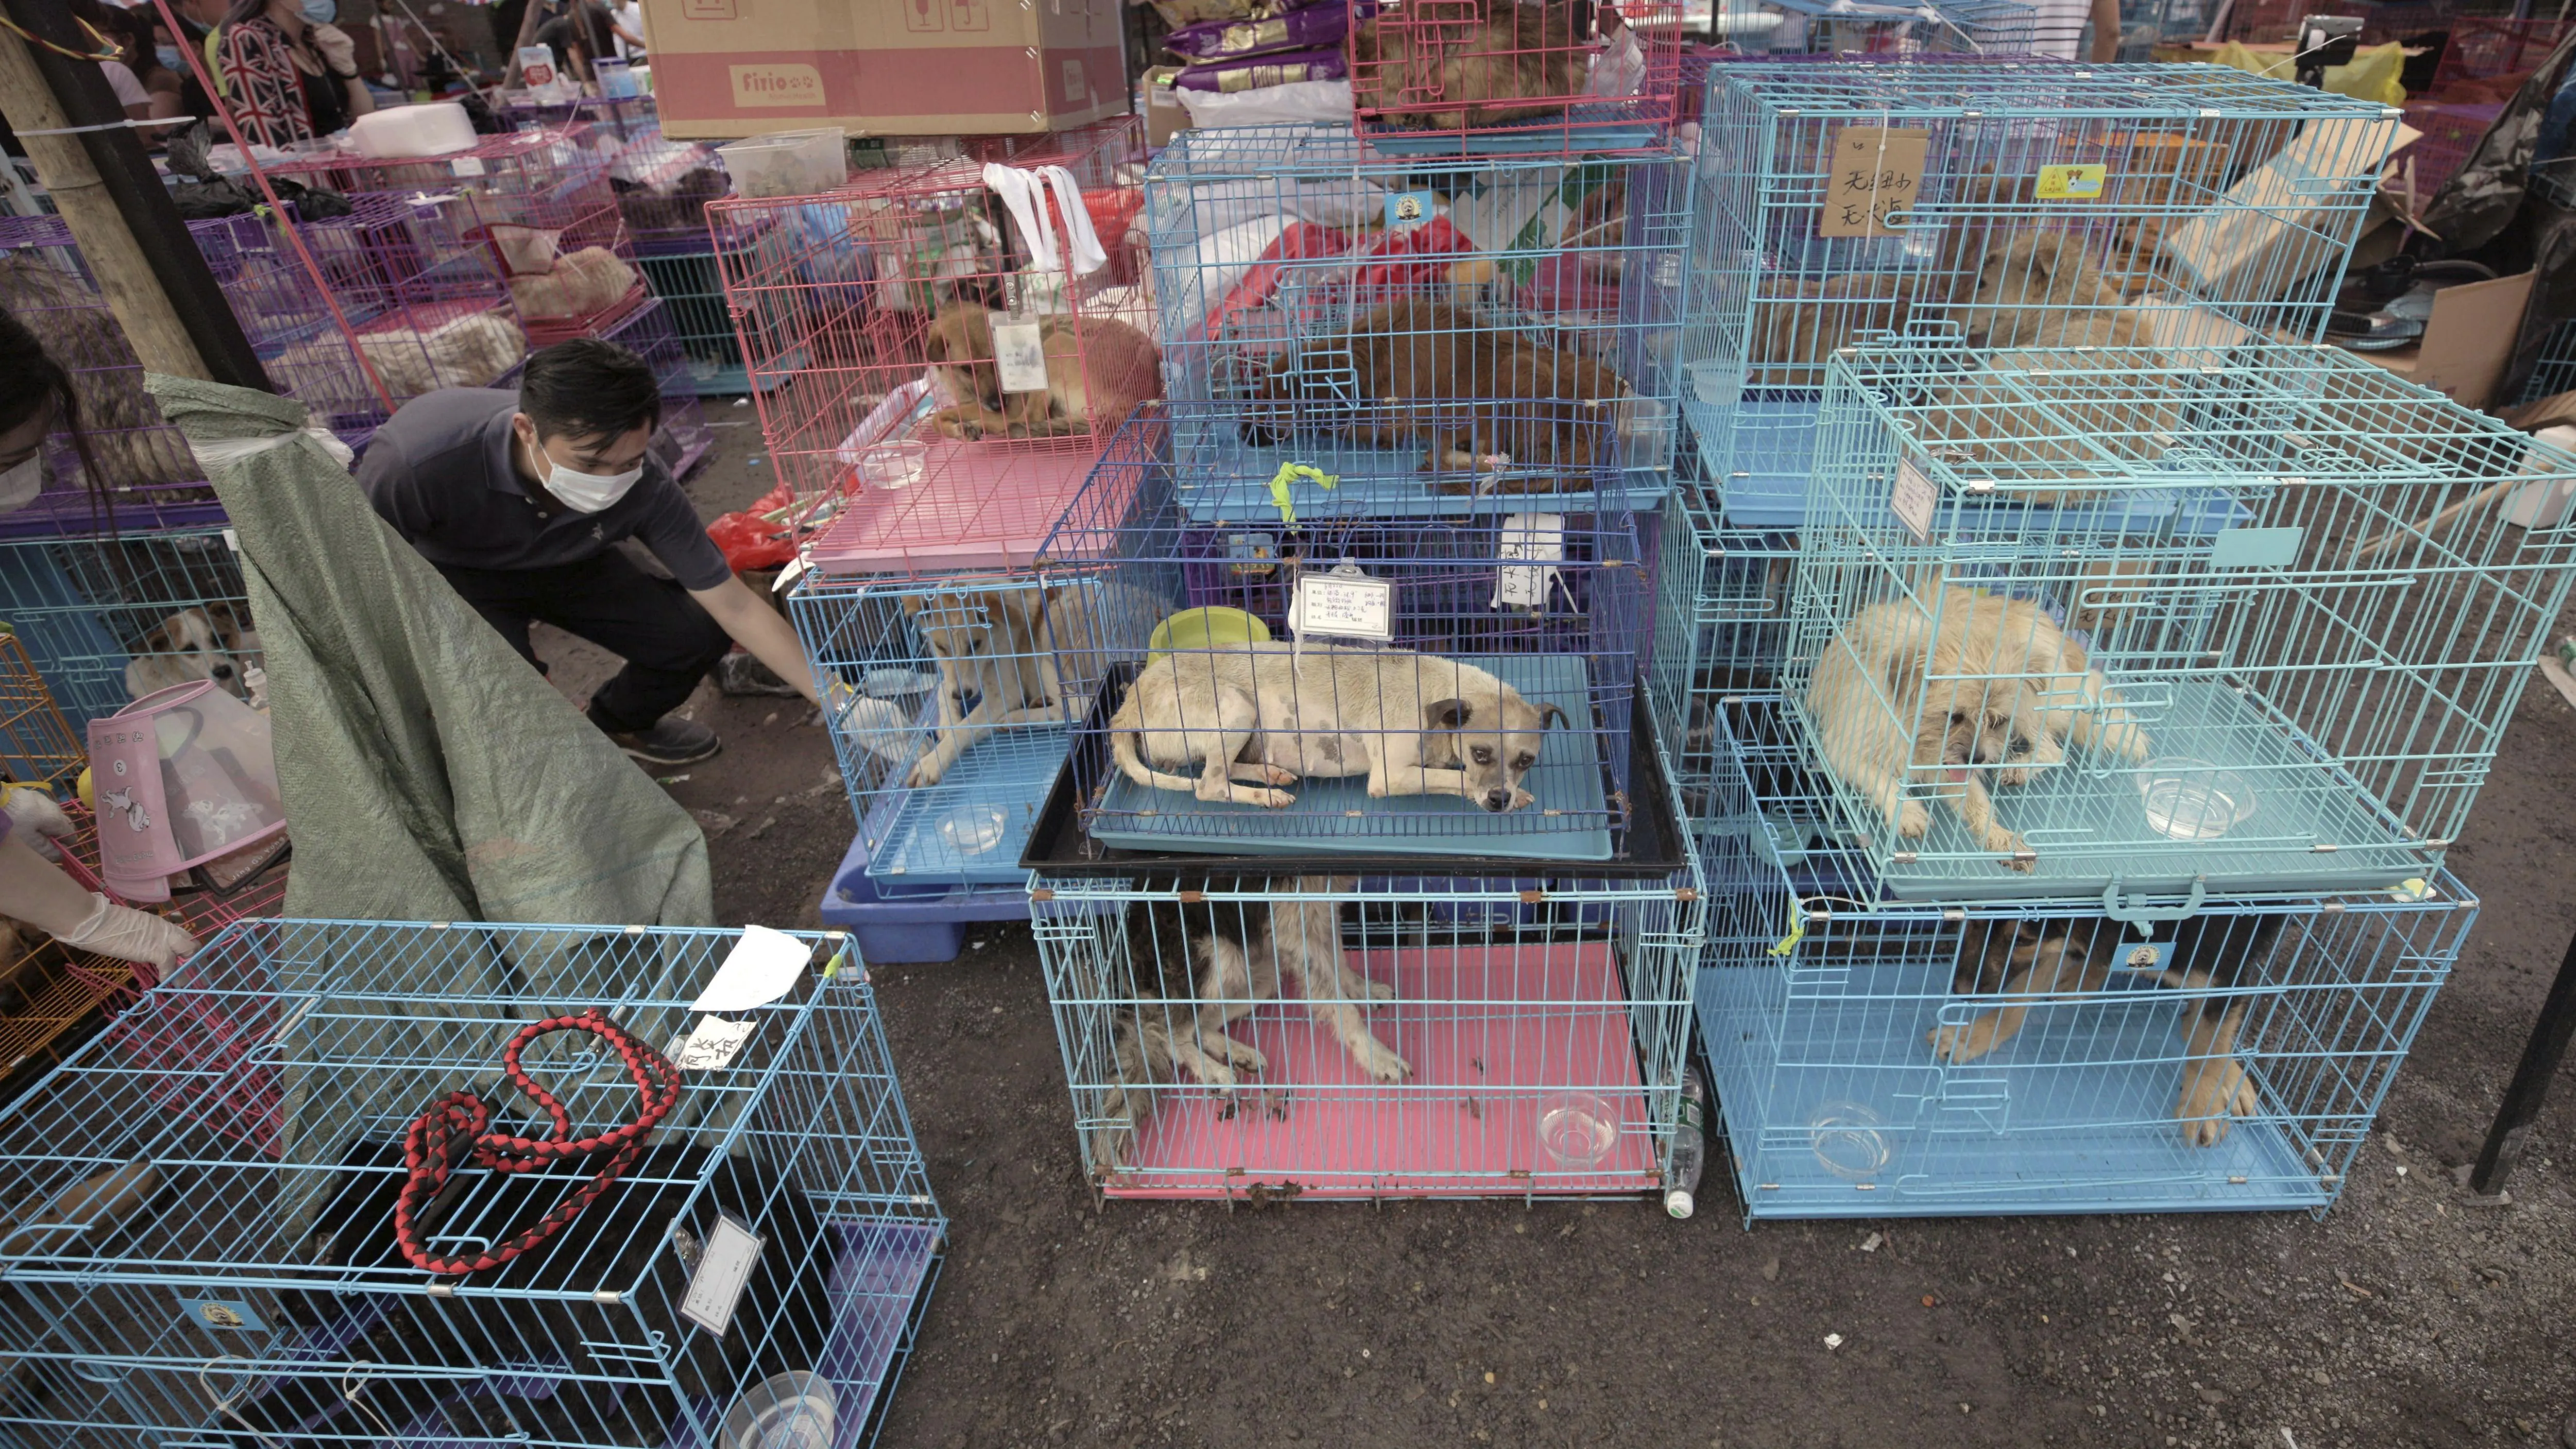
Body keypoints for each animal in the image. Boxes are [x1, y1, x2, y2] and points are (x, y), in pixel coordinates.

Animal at [1113, 638, 1566, 813]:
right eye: (1480, 753)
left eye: (1526, 760)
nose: (1499, 800)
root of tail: (1126, 705)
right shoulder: (1390, 776)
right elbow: (1455, 779)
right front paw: (1502, 795)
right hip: (1236, 705)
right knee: (1209, 785)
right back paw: (1266, 796)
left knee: (1221, 768)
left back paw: (1272, 774)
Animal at [1814, 589, 2154, 875]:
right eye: (1954, 716)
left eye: (1996, 721)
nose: (1976, 759)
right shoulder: (1847, 750)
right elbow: (1882, 779)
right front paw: (1908, 811)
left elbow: (1978, 803)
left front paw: (2002, 839)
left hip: (2032, 704)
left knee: (2054, 751)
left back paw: (2017, 770)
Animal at [1927, 916, 2287, 1148]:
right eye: (1975, 920)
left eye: (2024, 940)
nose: (1960, 991)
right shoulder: (2070, 932)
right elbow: (2021, 994)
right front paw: (1975, 1035)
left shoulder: (2228, 968)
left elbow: (2208, 1042)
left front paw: (2203, 1103)